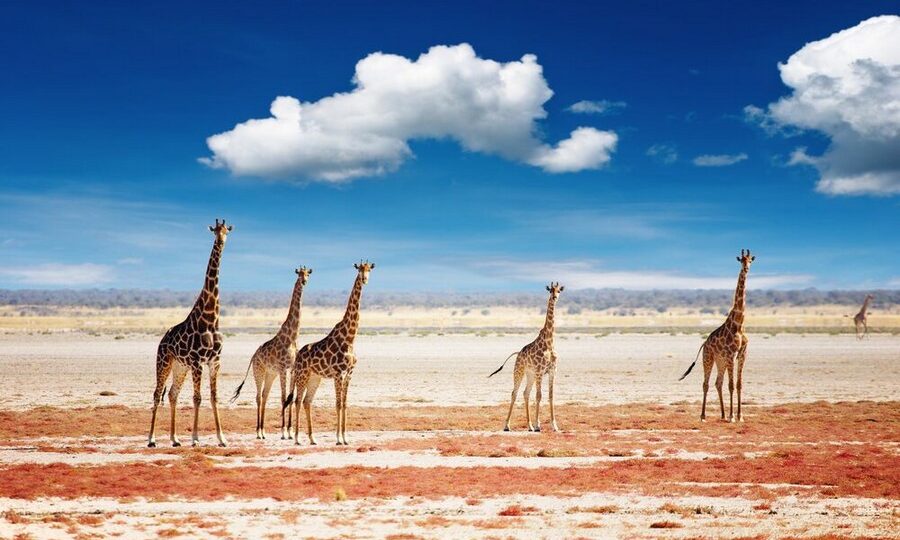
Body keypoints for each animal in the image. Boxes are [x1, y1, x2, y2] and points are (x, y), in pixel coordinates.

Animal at [148, 219, 232, 448]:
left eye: (226, 231)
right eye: (214, 231)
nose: (220, 241)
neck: (211, 319)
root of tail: (162, 341)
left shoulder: (215, 361)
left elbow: (213, 397)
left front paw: (222, 438)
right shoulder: (197, 362)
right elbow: (198, 398)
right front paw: (195, 438)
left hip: (180, 367)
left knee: (172, 394)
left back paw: (175, 439)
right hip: (164, 362)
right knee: (157, 393)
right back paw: (151, 439)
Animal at [232, 266, 312, 438]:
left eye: (308, 274)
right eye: (299, 274)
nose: (304, 282)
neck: (292, 337)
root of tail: (253, 357)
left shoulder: (292, 369)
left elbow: (290, 397)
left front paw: (289, 430)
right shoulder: (282, 368)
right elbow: (283, 398)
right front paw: (283, 432)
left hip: (270, 374)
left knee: (265, 395)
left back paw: (263, 431)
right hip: (259, 372)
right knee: (258, 397)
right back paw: (258, 431)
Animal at [284, 260, 376, 442]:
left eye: (369, 269)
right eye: (359, 270)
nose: (365, 279)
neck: (350, 338)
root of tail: (298, 356)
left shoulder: (349, 374)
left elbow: (345, 404)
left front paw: (345, 438)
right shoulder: (338, 374)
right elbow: (338, 404)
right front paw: (339, 438)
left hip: (315, 378)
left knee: (306, 401)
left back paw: (312, 439)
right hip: (302, 375)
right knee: (297, 400)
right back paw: (297, 438)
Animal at [488, 282, 568, 430]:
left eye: (559, 290)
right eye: (550, 290)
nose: (555, 297)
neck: (549, 342)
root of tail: (518, 353)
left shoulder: (552, 371)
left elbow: (551, 396)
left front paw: (554, 426)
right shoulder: (540, 371)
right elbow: (539, 396)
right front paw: (538, 425)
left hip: (530, 374)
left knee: (525, 393)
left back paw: (529, 426)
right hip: (519, 371)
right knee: (514, 393)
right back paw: (507, 425)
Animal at [680, 249, 756, 422]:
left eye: (751, 260)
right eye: (741, 260)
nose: (746, 269)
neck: (739, 324)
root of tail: (704, 343)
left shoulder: (742, 354)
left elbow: (739, 384)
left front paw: (740, 416)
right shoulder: (731, 354)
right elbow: (731, 385)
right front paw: (732, 416)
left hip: (720, 361)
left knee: (717, 383)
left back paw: (722, 415)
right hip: (708, 358)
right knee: (706, 384)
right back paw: (703, 416)